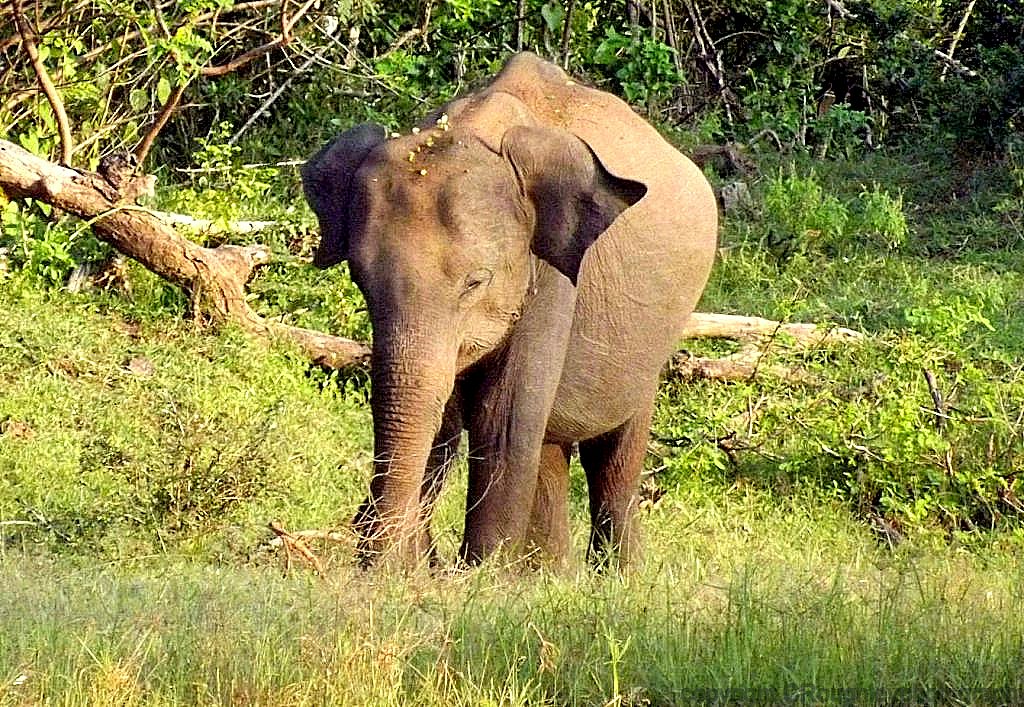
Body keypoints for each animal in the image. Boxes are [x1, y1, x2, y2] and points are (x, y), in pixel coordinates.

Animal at [302, 52, 717, 570]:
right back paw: (547, 576)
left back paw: (618, 576)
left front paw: (480, 577)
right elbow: (444, 420)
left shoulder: (553, 274)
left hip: (654, 337)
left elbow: (503, 419)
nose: (369, 561)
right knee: (551, 445)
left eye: (475, 282)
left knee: (615, 448)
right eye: (360, 279)